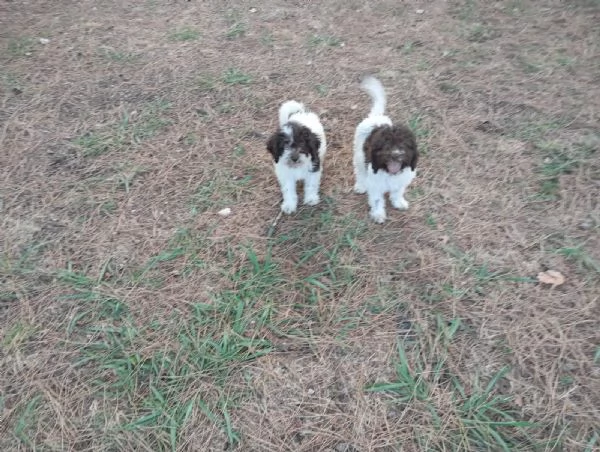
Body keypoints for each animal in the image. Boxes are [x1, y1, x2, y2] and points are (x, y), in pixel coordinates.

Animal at [352, 78, 418, 225]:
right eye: (386, 146)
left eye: (404, 145)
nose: (396, 155)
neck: (389, 172)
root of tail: (377, 117)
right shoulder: (375, 183)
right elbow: (377, 200)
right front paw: (378, 214)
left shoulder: (401, 180)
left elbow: (397, 192)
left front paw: (398, 202)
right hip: (359, 154)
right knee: (360, 171)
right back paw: (361, 185)